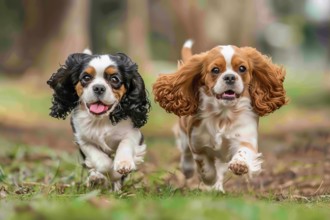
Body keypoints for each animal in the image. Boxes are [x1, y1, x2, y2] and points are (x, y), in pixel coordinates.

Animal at [47, 49, 150, 191]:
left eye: (114, 79)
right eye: (86, 77)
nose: (99, 88)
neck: (101, 119)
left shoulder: (134, 133)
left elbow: (126, 144)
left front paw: (123, 164)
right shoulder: (83, 140)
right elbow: (102, 162)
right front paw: (111, 174)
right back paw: (97, 179)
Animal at [153, 40, 288, 192]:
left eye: (242, 68)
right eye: (215, 70)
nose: (230, 77)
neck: (224, 114)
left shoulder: (245, 138)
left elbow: (243, 151)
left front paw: (239, 164)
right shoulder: (197, 145)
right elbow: (205, 167)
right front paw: (209, 179)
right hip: (183, 134)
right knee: (185, 153)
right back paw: (188, 170)